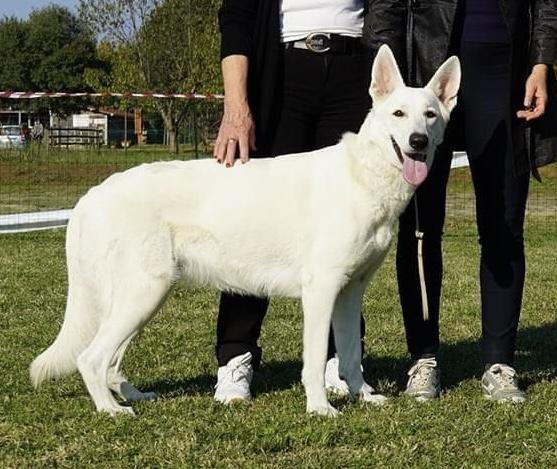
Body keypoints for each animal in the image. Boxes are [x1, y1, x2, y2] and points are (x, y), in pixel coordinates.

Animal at [32, 45, 462, 414]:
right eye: (398, 114)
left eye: (430, 115)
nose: (418, 142)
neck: (365, 176)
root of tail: (93, 195)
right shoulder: (321, 291)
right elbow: (314, 361)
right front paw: (320, 408)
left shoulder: (349, 293)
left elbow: (352, 357)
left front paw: (363, 397)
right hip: (143, 294)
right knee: (91, 358)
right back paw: (112, 410)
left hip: (142, 299)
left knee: (110, 360)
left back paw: (132, 396)